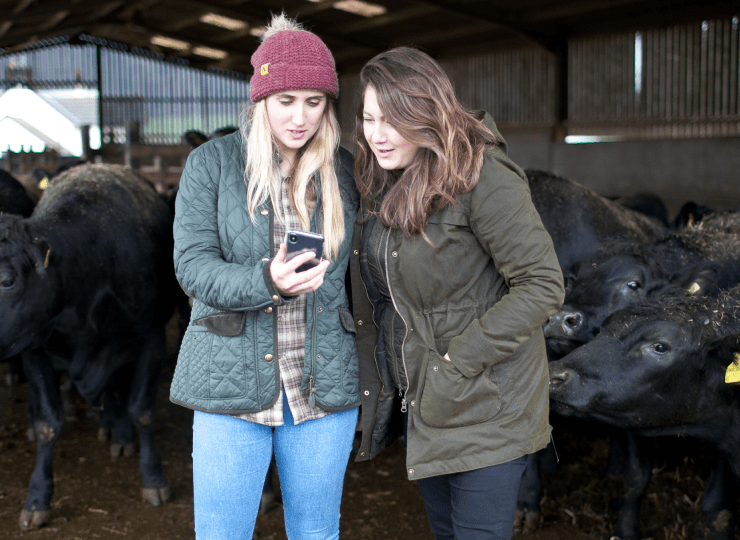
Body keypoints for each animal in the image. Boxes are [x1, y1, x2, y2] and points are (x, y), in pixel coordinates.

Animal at [0, 163, 178, 530]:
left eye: (7, 280)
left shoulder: (151, 339)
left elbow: (141, 409)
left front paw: (154, 478)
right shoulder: (34, 351)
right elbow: (47, 423)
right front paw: (37, 498)